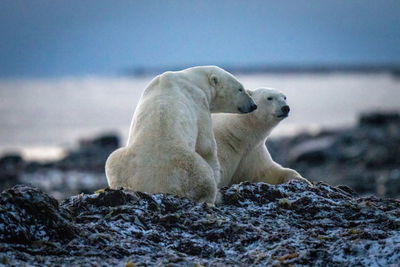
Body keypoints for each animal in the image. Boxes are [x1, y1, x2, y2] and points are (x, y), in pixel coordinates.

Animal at [105, 66, 256, 203]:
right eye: (240, 88)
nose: (253, 105)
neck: (191, 79)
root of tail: (154, 185)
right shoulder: (199, 102)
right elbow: (206, 146)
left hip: (122, 163)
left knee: (111, 159)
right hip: (187, 168)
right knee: (204, 177)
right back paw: (213, 197)